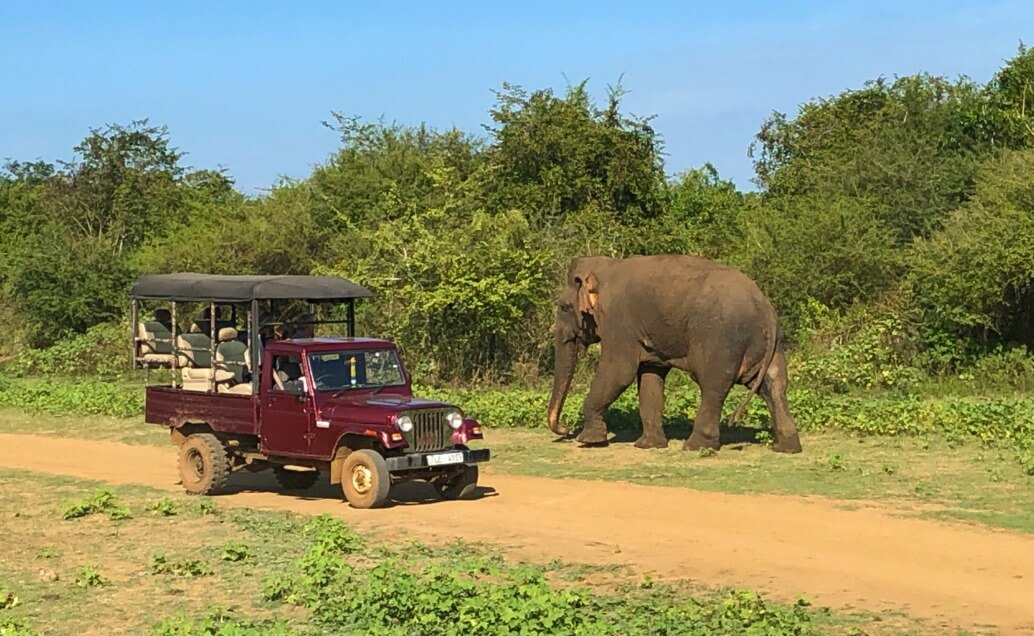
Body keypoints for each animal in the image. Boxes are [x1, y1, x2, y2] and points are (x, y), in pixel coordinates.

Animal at [545, 253, 802, 452]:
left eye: (564, 307)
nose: (566, 428)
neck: (608, 268)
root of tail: (765, 307)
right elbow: (650, 378)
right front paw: (648, 446)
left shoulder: (620, 323)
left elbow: (619, 372)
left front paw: (589, 441)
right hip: (770, 346)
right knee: (774, 385)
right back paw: (786, 448)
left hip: (721, 341)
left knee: (713, 386)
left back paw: (695, 446)